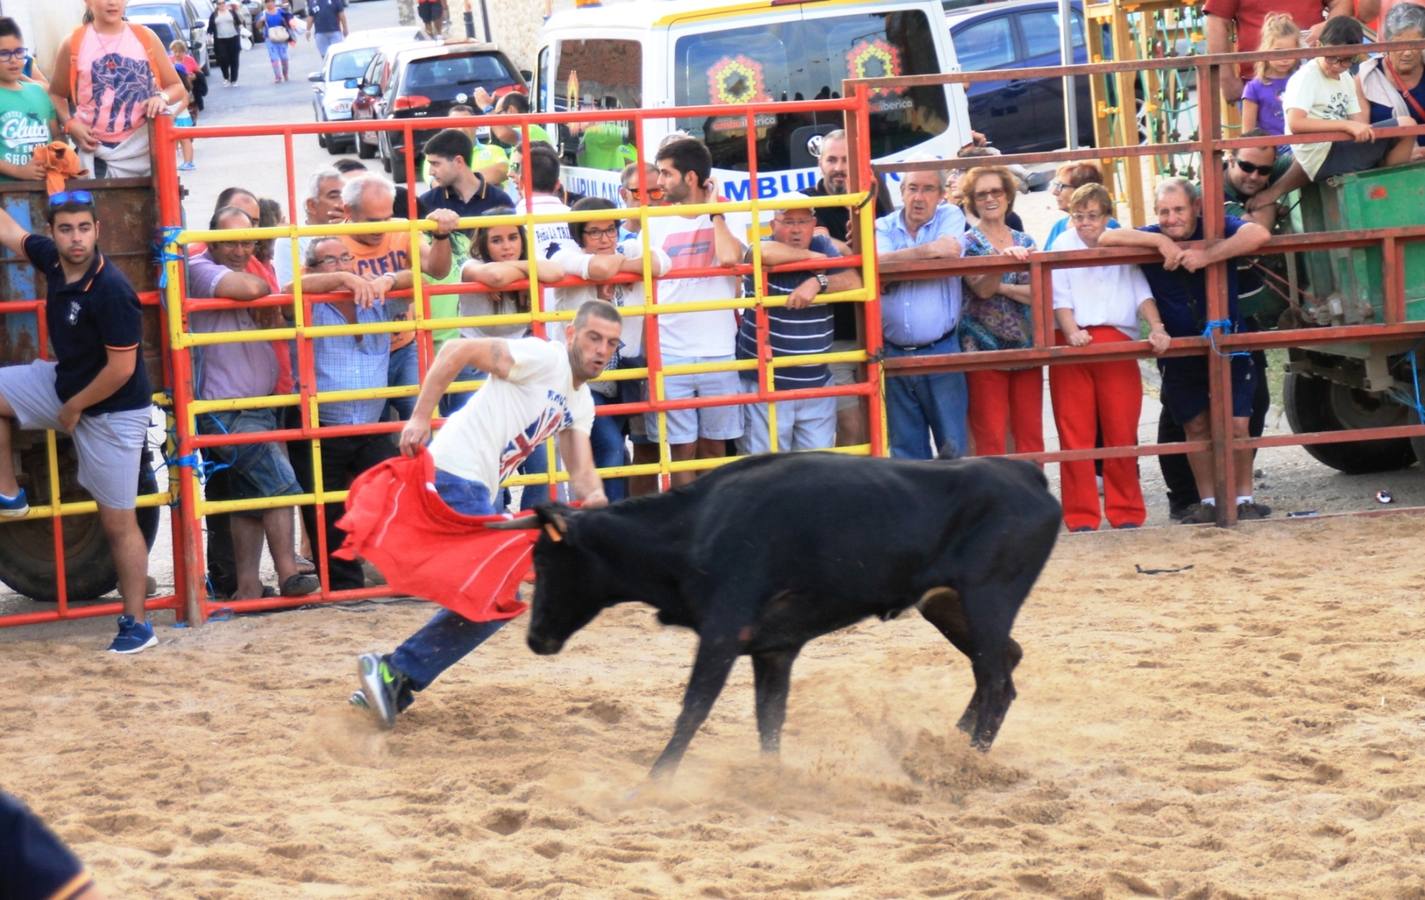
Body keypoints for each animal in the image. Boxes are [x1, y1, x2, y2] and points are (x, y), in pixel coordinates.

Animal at [495, 452, 1065, 774]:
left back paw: (966, 762)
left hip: (987, 598)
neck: (692, 531)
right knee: (1001, 663)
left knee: (997, 680)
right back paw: (951, 745)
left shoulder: (723, 635)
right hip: (949, 605)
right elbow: (768, 716)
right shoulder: (773, 648)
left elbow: (693, 711)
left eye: (542, 560)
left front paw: (652, 784)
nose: (536, 638)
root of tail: (1026, 474)